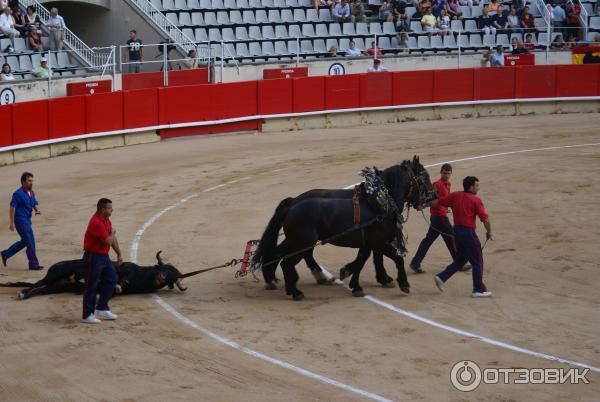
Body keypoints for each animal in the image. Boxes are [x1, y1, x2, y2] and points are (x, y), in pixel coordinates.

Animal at [0, 251, 188, 298]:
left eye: (172, 278)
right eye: (163, 269)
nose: (161, 279)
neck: (140, 276)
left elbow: (117, 289)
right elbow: (118, 280)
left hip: (56, 286)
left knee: (40, 289)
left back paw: (25, 294)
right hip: (54, 274)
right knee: (37, 284)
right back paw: (22, 292)